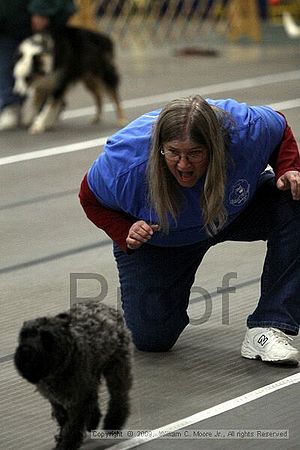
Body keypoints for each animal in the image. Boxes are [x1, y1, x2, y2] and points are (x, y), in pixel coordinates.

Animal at [13, 300, 132, 450]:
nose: (26, 351)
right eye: (25, 334)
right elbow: (63, 420)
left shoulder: (77, 401)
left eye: (47, 338)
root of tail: (108, 308)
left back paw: (113, 422)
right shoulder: (57, 400)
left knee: (119, 396)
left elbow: (72, 427)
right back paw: (93, 420)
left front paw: (66, 445)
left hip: (116, 370)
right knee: (95, 398)